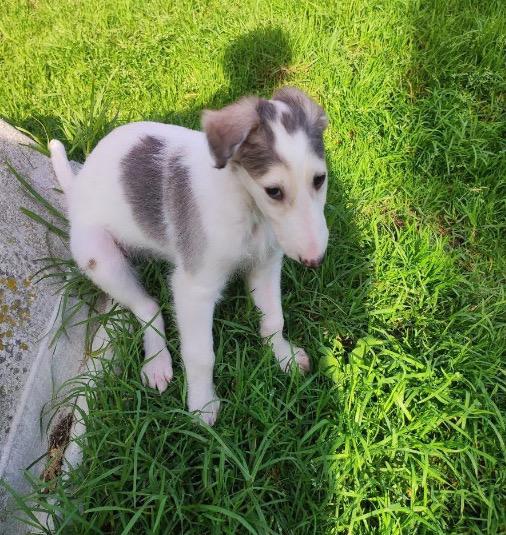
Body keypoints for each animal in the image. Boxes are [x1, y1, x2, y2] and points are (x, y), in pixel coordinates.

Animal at [50, 88, 328, 426]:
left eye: (319, 179)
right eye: (273, 191)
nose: (315, 260)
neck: (246, 203)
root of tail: (77, 185)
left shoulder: (265, 264)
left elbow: (274, 318)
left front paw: (283, 356)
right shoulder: (194, 289)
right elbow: (200, 355)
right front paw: (202, 404)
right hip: (98, 256)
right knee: (148, 306)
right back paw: (157, 362)